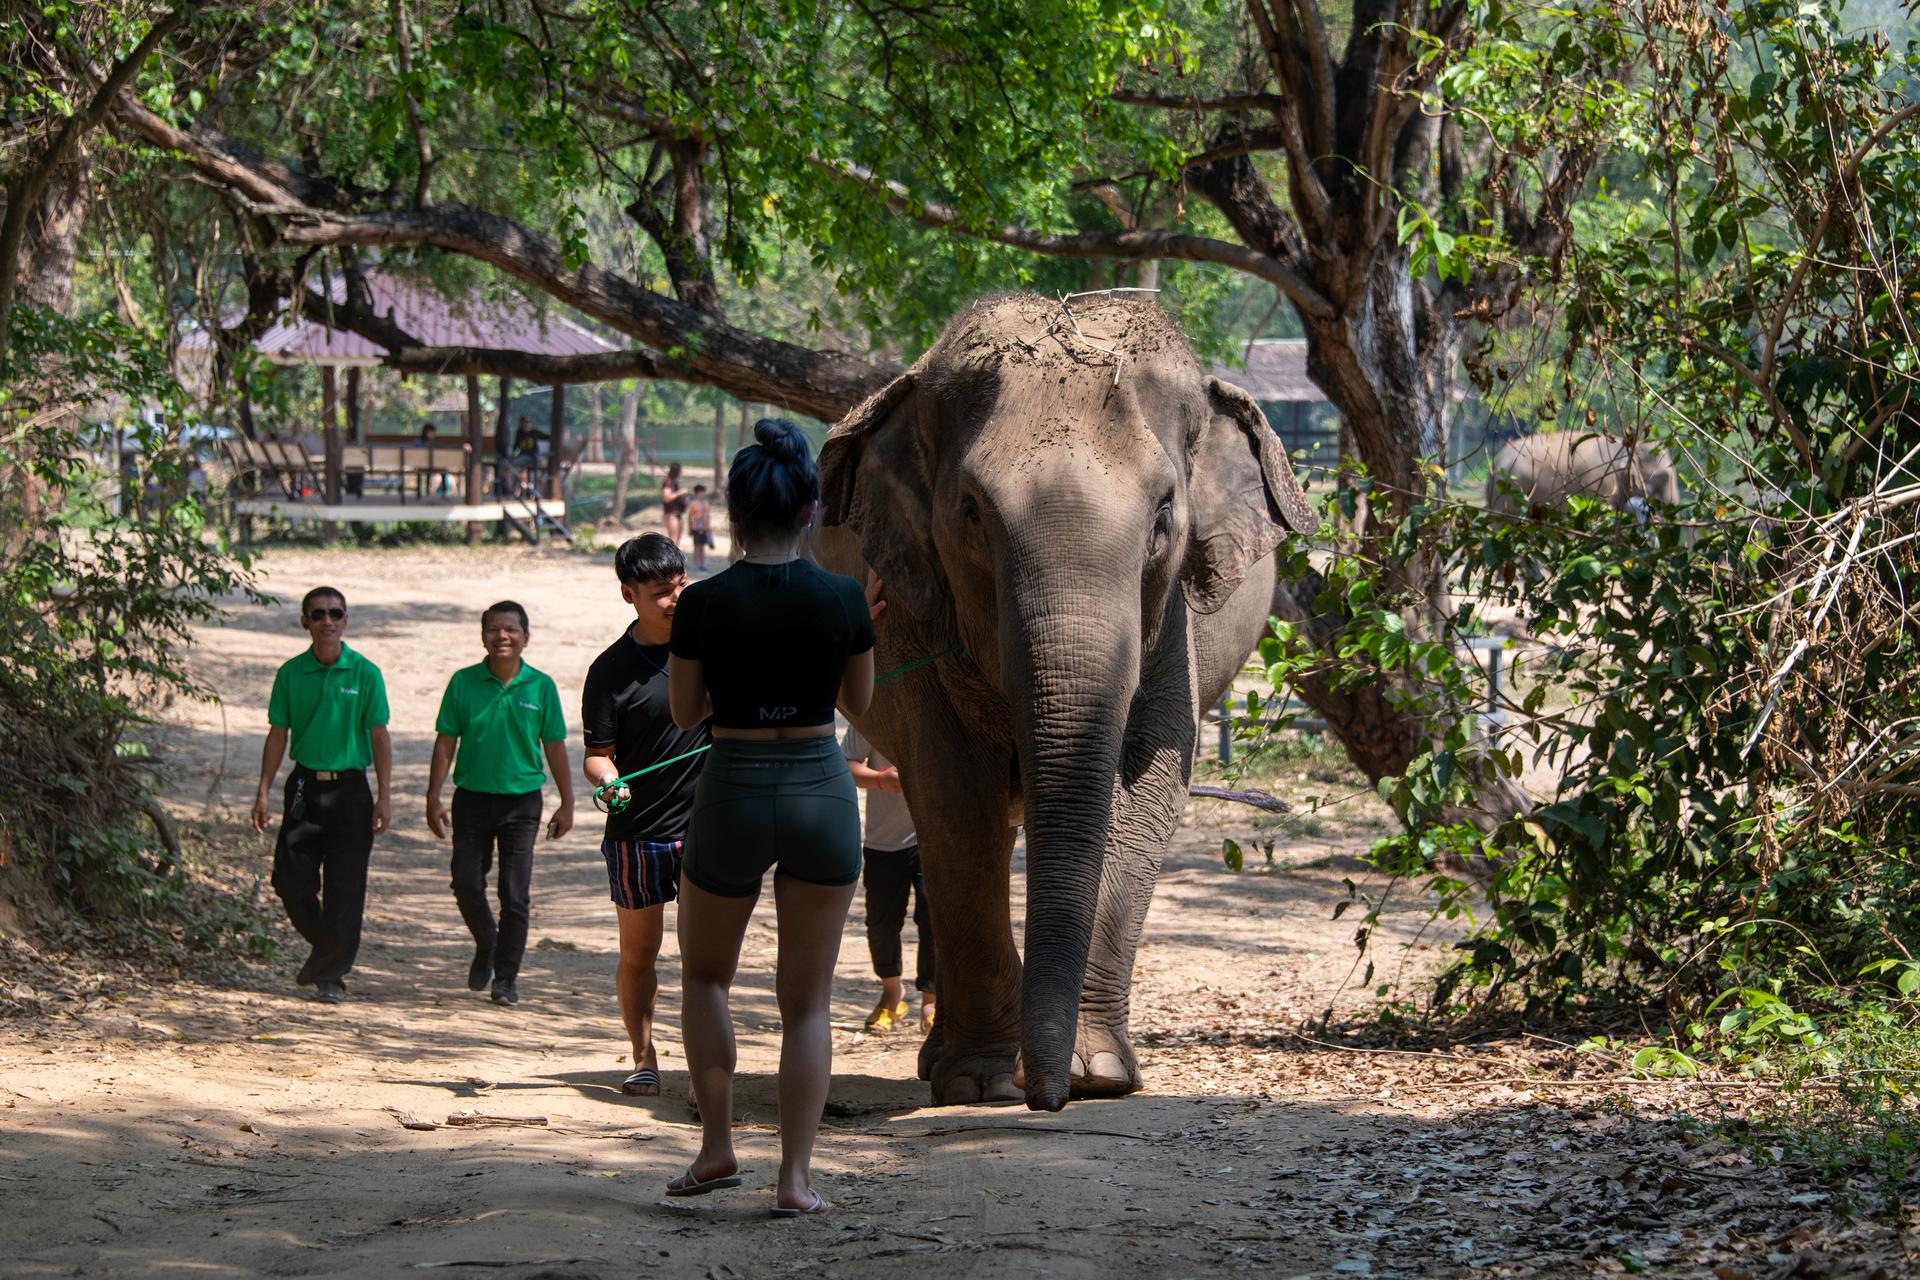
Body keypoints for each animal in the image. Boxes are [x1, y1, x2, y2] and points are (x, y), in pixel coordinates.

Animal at [814, 293, 1316, 1111]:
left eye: (1164, 514)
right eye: (972, 512)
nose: (1040, 1094)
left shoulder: (1171, 627)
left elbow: (1144, 793)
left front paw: (1096, 1075)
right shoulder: (917, 615)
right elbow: (955, 796)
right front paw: (983, 1081)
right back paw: (942, 1063)